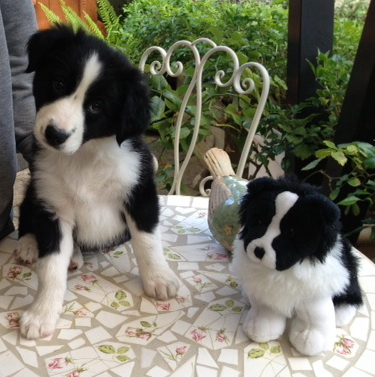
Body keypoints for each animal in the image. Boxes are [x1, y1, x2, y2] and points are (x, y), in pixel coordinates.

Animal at [13, 25, 178, 338]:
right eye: (58, 84)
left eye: (96, 106)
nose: (55, 134)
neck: (84, 156)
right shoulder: (53, 204)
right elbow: (50, 266)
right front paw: (41, 314)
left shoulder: (139, 190)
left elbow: (147, 240)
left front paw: (160, 279)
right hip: (35, 189)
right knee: (27, 216)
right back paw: (30, 245)